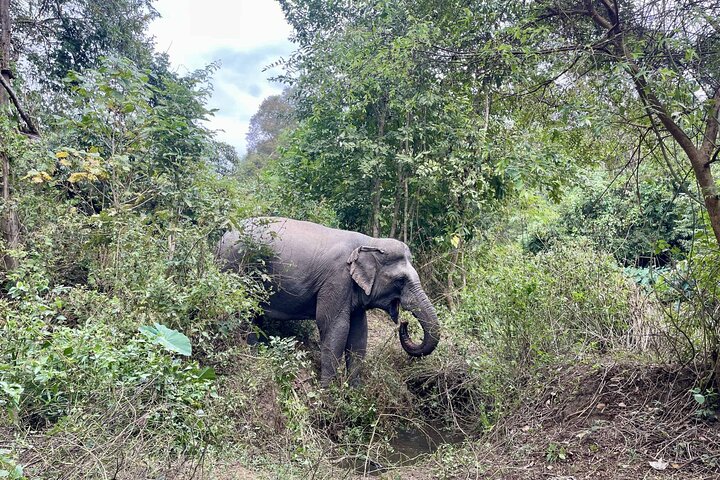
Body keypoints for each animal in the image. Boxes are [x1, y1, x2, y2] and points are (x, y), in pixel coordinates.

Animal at [216, 217, 440, 386]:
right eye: (400, 280)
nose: (404, 323)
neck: (370, 242)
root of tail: (222, 238)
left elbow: (359, 332)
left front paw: (355, 391)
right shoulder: (337, 279)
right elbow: (335, 326)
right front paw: (327, 393)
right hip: (235, 267)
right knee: (245, 312)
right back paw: (254, 353)